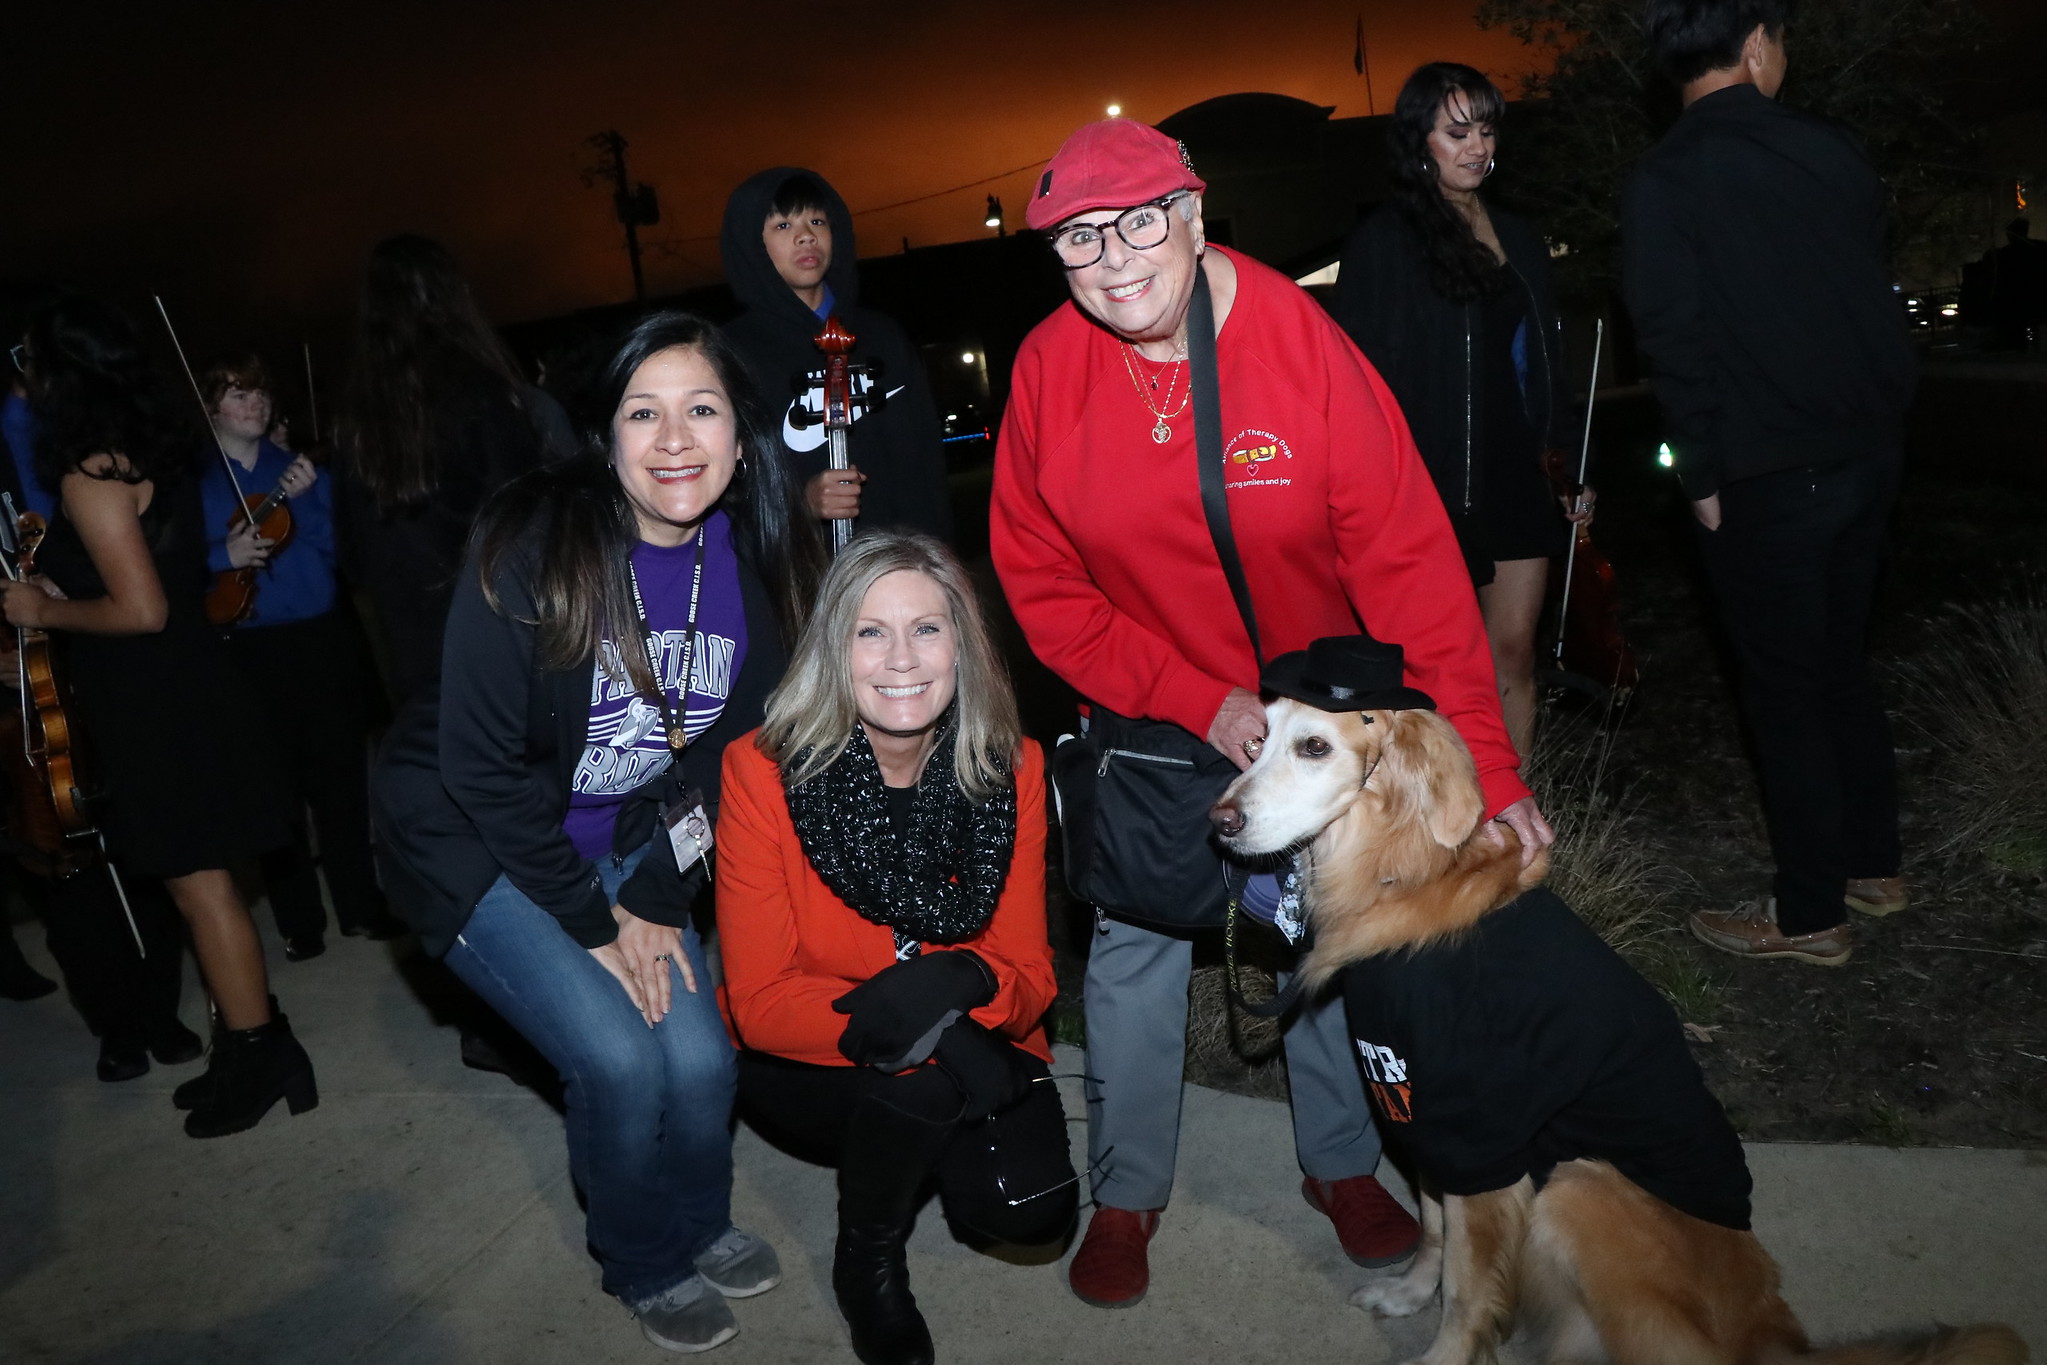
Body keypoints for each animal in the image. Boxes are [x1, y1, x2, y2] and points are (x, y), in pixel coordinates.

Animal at [1203, 703, 2022, 1365]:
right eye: (1259, 738)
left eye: (1314, 746)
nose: (1221, 823)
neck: (1404, 871)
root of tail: (1769, 1333)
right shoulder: (1428, 1116)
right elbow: (1433, 1228)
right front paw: (1408, 1294)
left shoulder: (1478, 1137)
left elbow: (1469, 1289)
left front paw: (1442, 1352)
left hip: (1578, 1186)